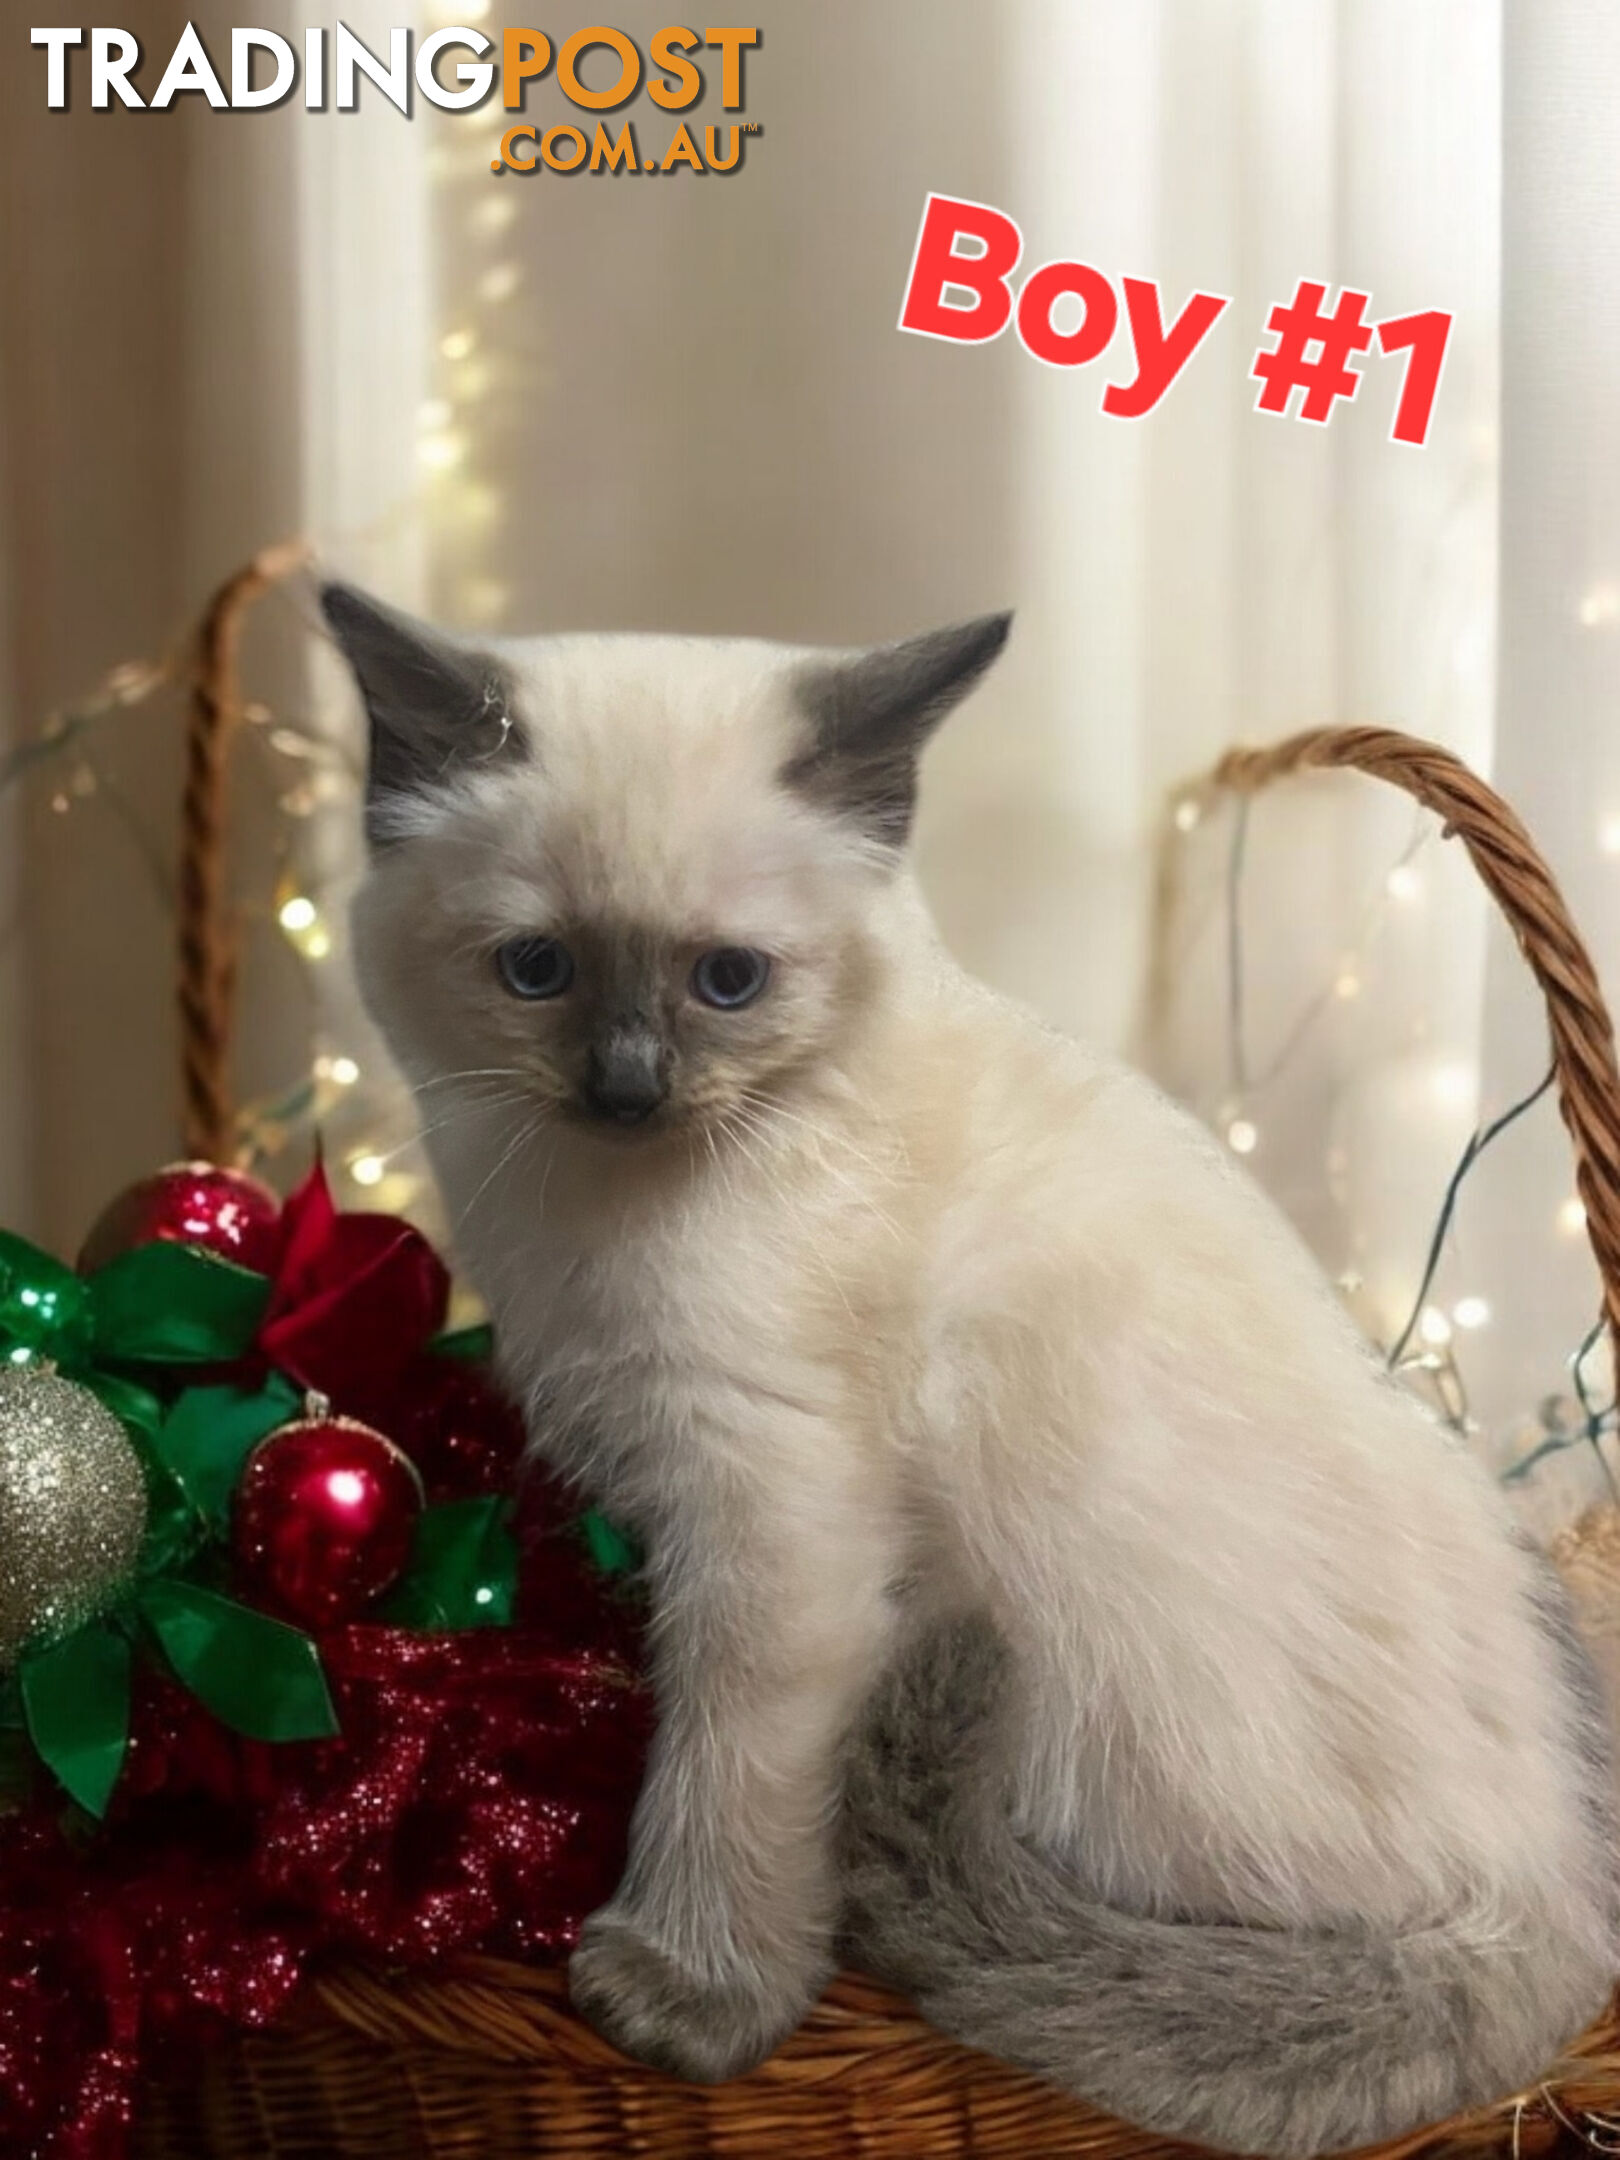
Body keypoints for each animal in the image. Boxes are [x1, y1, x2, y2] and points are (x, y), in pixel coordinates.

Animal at [332, 578, 1620, 2160]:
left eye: (728, 981)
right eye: (537, 970)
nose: (627, 1087)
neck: (586, 1213)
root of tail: (1561, 1904)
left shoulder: (770, 1511)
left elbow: (722, 1768)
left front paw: (683, 1997)